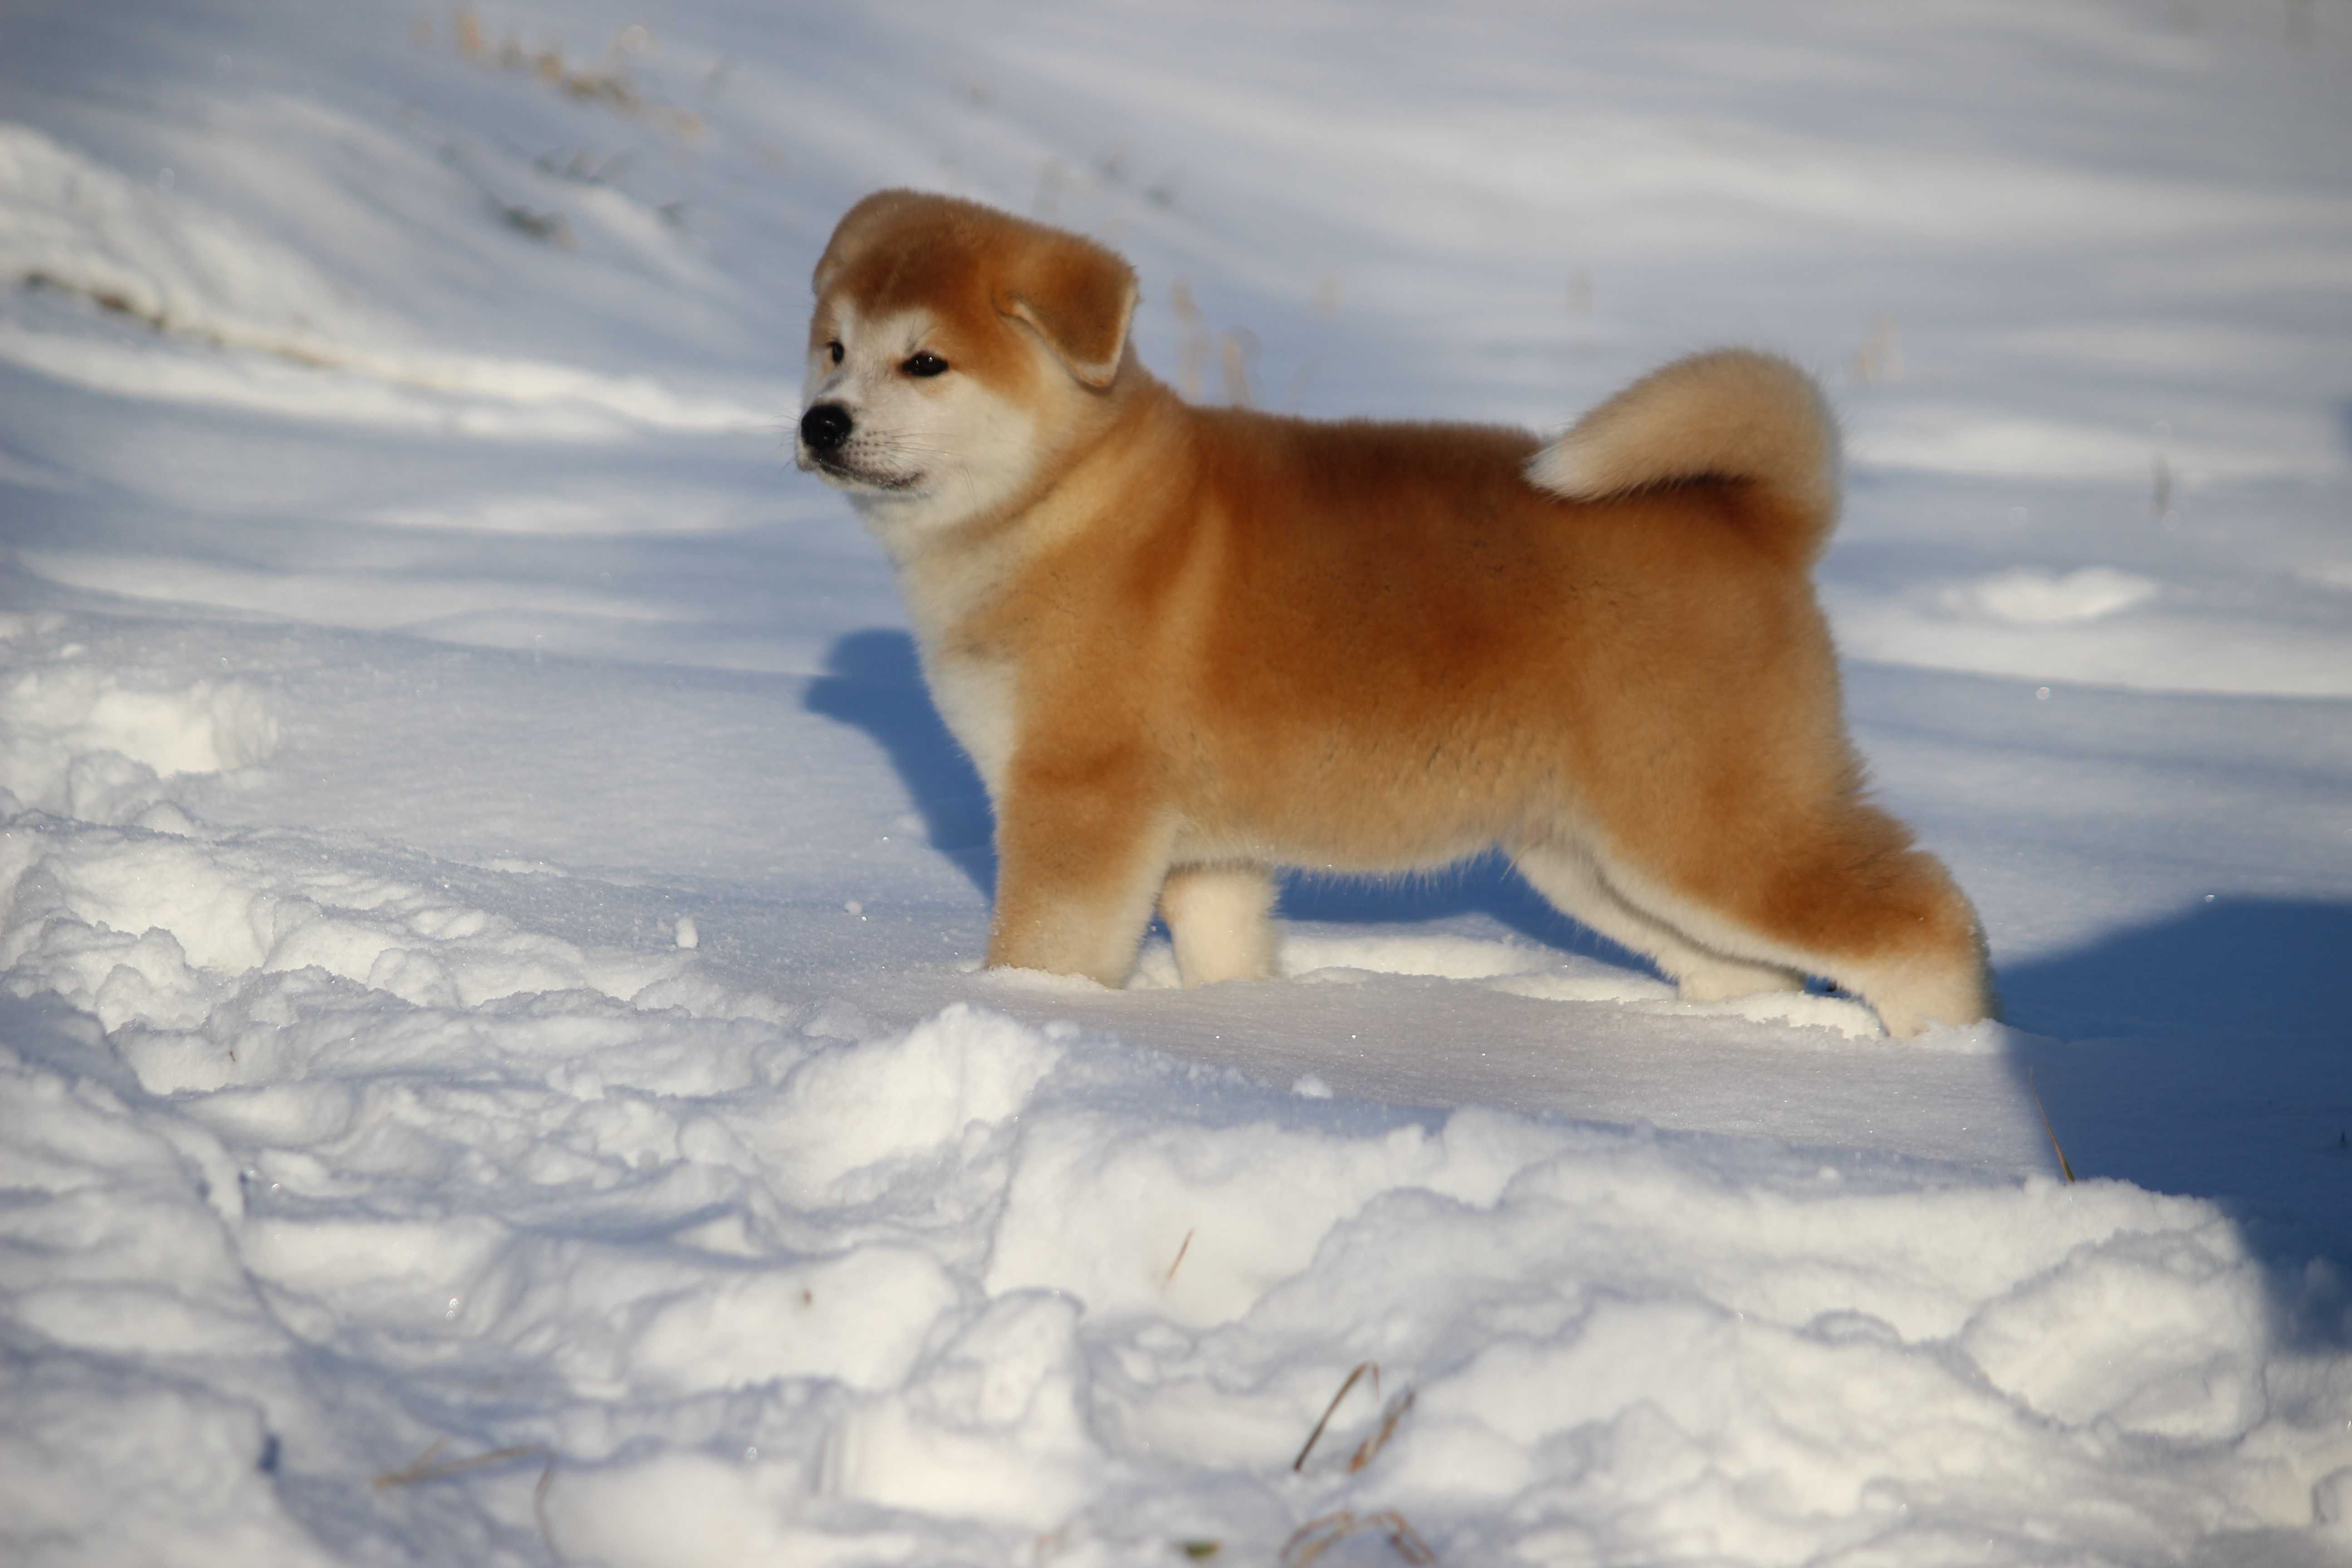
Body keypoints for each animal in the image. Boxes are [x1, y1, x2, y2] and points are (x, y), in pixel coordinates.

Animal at [795, 190, 1985, 1034]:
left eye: (926, 361)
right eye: (833, 348)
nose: (820, 423)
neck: (1063, 500)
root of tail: (1756, 517)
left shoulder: (1077, 802)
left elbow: (1043, 953)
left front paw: (1019, 1018)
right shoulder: (1204, 852)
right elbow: (1227, 950)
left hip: (1709, 822)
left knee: (1921, 920)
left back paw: (1949, 1069)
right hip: (1600, 858)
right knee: (1754, 970)